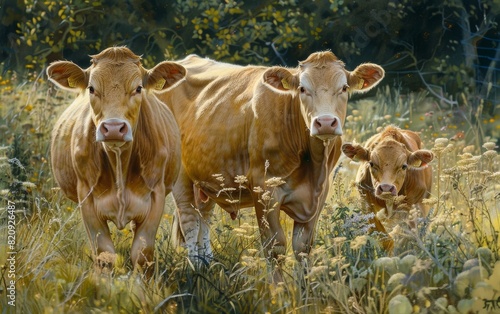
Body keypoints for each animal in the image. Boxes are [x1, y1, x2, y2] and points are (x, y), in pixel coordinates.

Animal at [47, 46, 185, 274]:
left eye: (138, 88)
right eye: (92, 88)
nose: (113, 128)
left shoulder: (156, 195)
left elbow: (142, 254)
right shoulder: (87, 198)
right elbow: (105, 255)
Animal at [158, 49, 384, 278]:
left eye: (344, 88)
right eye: (302, 89)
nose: (326, 123)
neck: (313, 166)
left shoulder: (319, 195)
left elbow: (303, 248)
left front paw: (304, 285)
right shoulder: (264, 189)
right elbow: (275, 247)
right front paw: (279, 287)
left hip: (207, 178)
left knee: (203, 218)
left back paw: (207, 264)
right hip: (182, 179)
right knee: (190, 222)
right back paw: (196, 268)